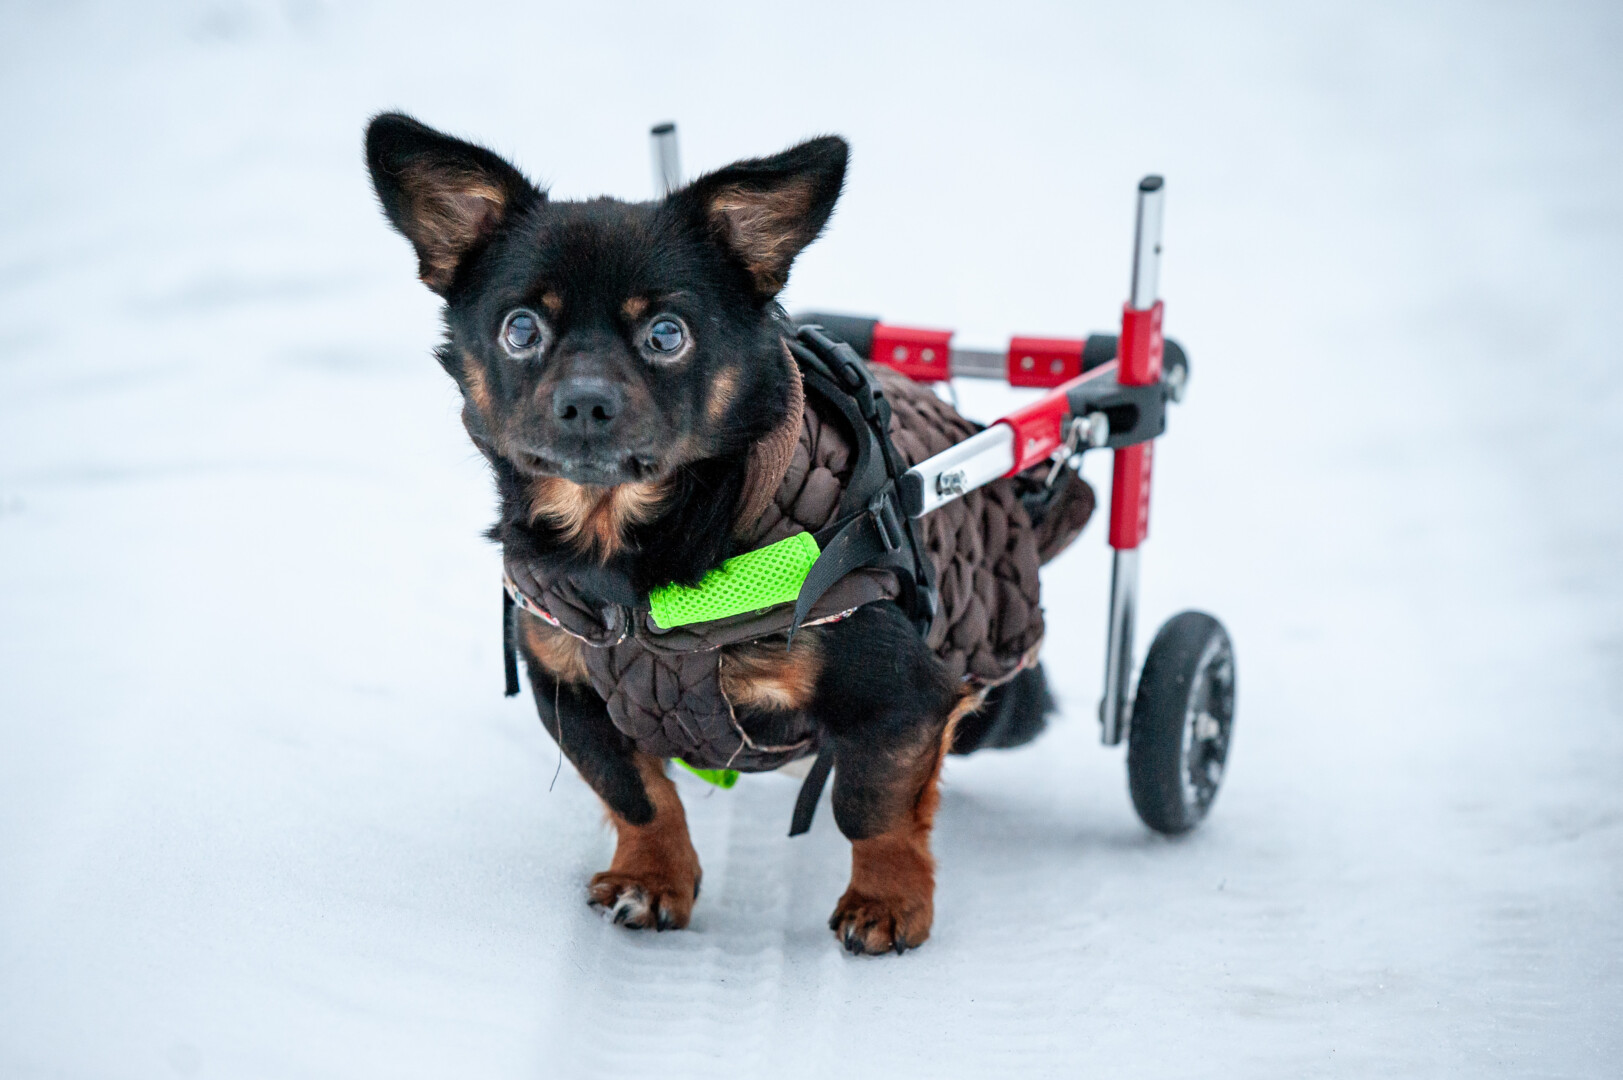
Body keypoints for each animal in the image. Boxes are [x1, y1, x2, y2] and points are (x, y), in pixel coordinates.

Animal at [365, 116, 1064, 954]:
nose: (585, 402)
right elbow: (636, 794)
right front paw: (652, 878)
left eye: (666, 334)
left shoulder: (904, 696)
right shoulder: (568, 691)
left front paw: (888, 901)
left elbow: (871, 805)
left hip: (1000, 694)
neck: (626, 554)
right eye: (520, 329)